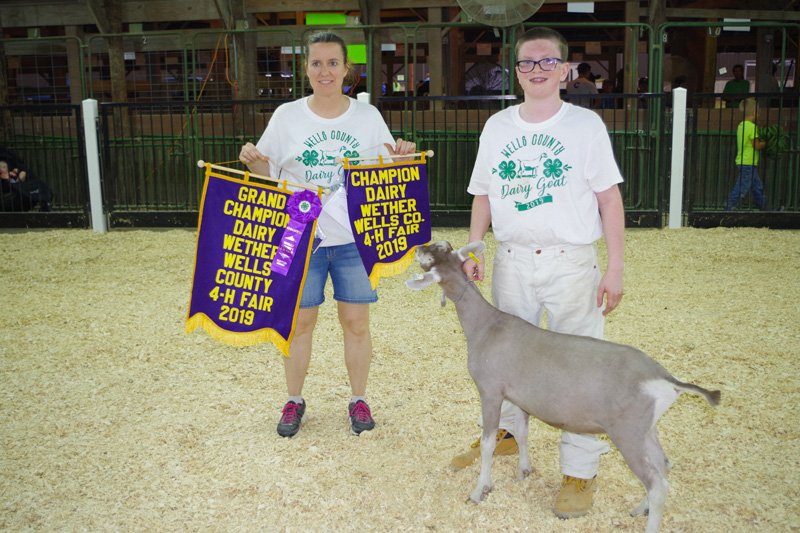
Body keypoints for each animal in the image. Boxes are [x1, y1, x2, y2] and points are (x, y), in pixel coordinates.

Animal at [406, 241, 720, 532]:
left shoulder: (490, 391)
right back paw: (638, 509)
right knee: (663, 465)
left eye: (431, 258)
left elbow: (487, 444)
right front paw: (524, 470)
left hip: (627, 432)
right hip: (647, 429)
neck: (486, 326)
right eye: (441, 247)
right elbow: (522, 432)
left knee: (655, 483)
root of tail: (667, 380)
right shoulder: (520, 397)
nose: (417, 247)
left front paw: (479, 490)